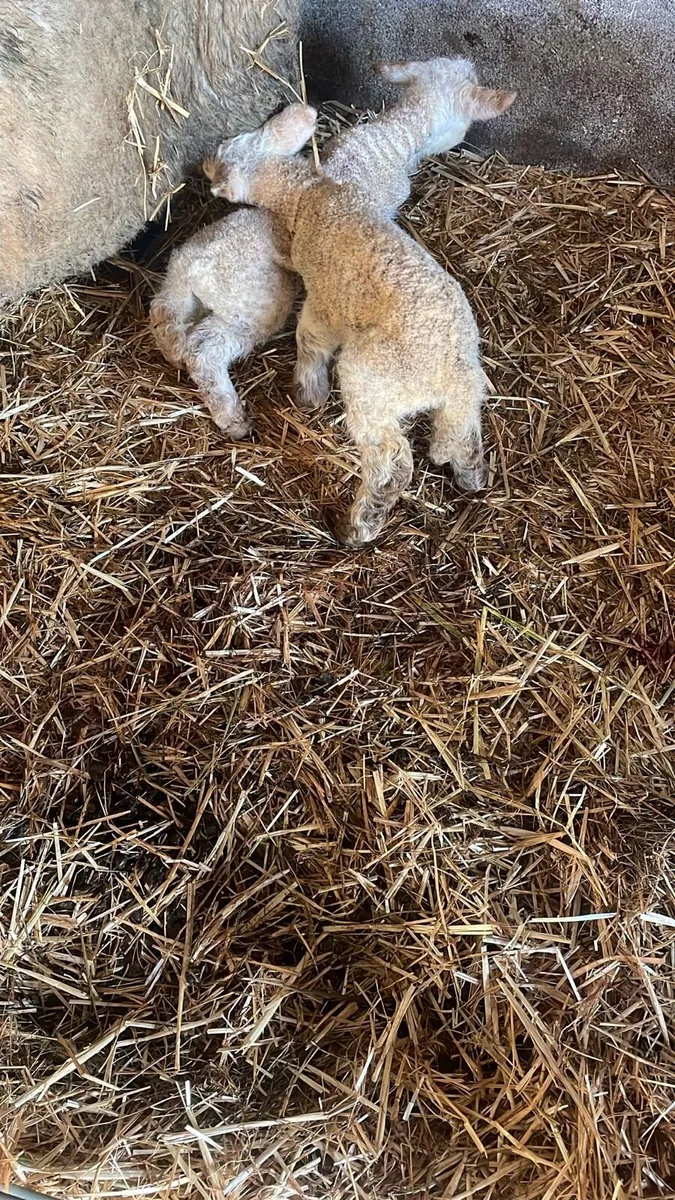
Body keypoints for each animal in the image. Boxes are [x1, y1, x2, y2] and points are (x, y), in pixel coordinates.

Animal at [150, 57, 515, 439]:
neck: (393, 135)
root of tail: (190, 269)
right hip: (253, 306)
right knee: (204, 350)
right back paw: (232, 416)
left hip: (185, 291)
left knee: (166, 318)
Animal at [208, 101, 505, 546]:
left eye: (229, 149)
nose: (206, 166)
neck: (311, 194)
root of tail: (450, 376)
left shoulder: (324, 299)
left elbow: (309, 338)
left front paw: (309, 390)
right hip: (462, 394)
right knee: (463, 432)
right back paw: (471, 476)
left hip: (371, 385)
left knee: (392, 461)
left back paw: (359, 525)